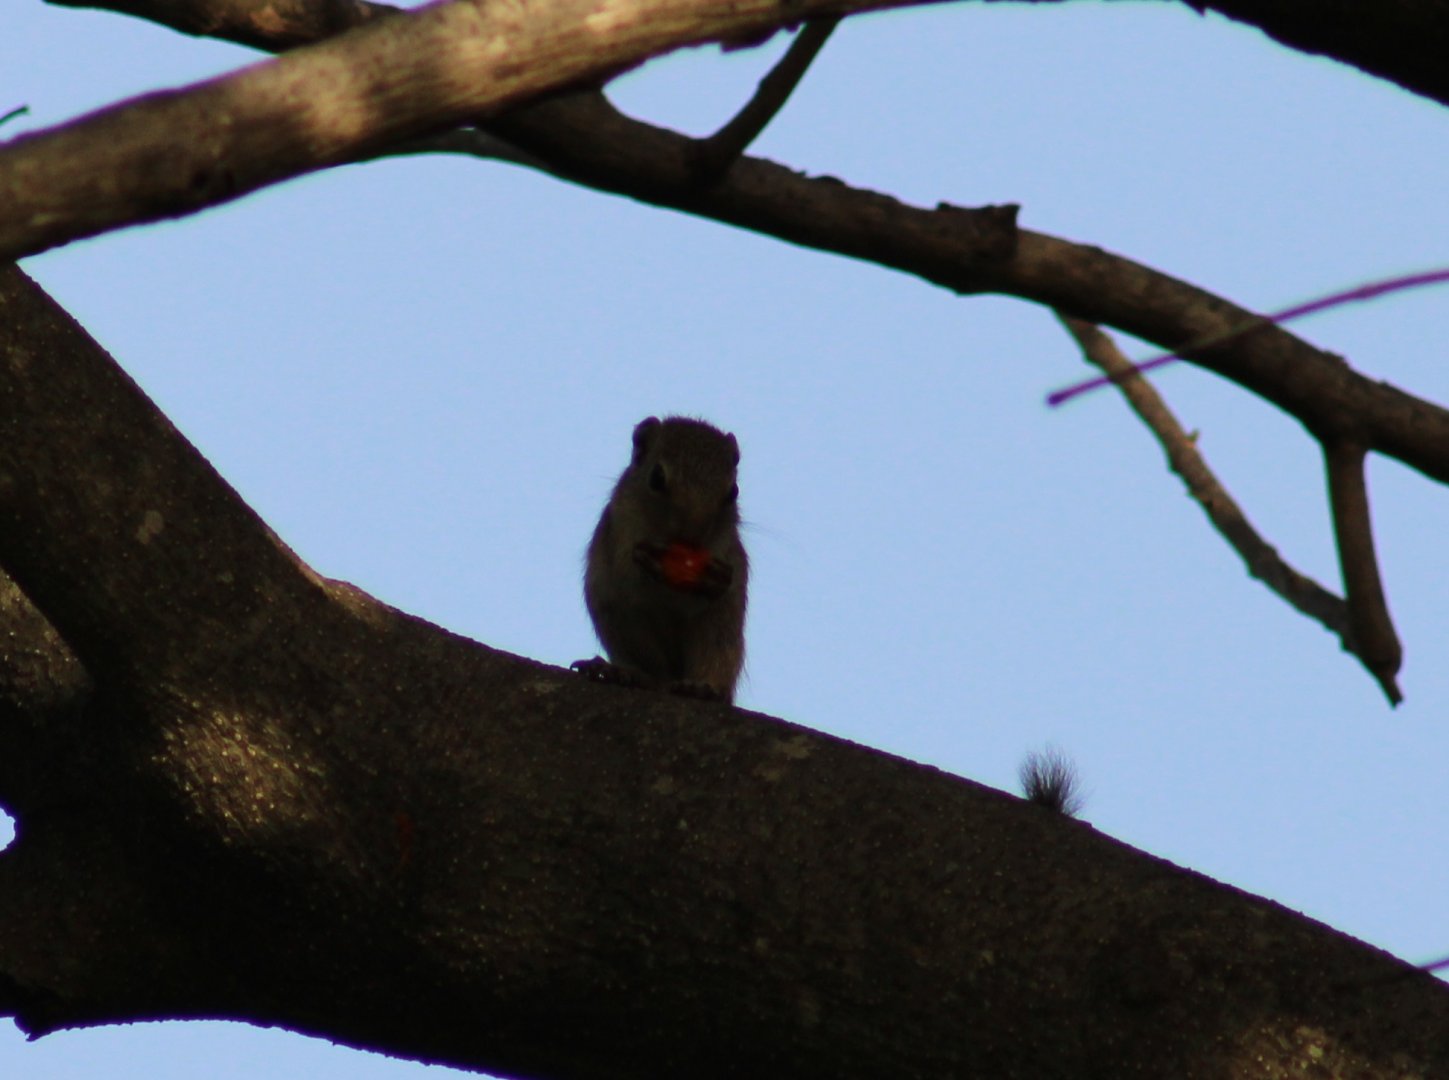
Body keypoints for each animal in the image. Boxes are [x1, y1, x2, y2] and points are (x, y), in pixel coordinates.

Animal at [573, 416, 748, 703]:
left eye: (733, 491)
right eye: (656, 478)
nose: (692, 535)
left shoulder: (728, 550)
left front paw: (717, 579)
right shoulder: (619, 532)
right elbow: (630, 574)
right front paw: (647, 561)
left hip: (722, 634)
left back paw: (703, 688)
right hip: (624, 629)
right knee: (651, 672)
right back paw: (624, 673)